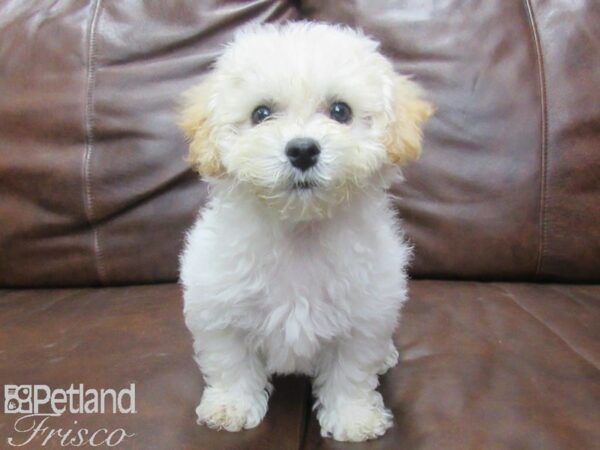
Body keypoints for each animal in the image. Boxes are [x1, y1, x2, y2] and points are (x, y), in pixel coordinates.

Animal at [178, 22, 432, 442]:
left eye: (341, 111)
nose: (302, 150)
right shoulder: (219, 306)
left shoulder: (364, 316)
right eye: (261, 113)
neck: (299, 230)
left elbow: (351, 371)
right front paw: (231, 407)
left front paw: (353, 418)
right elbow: (231, 361)